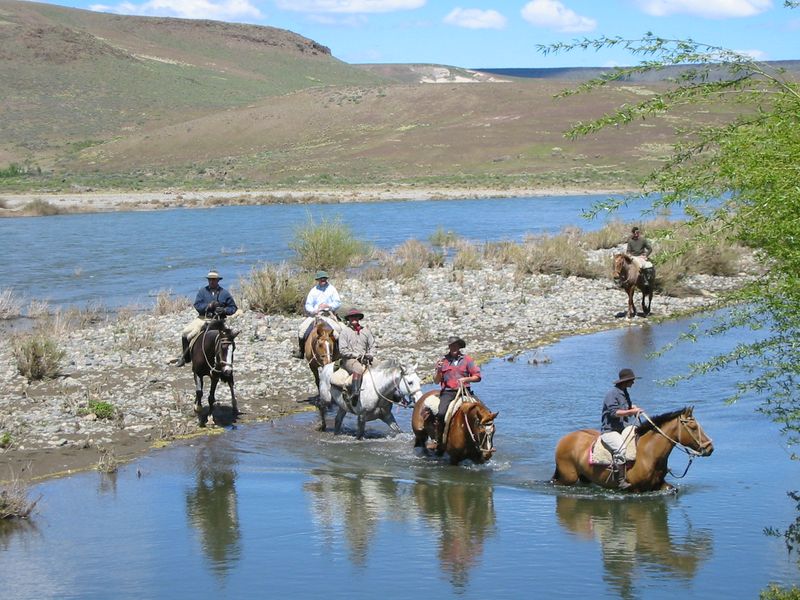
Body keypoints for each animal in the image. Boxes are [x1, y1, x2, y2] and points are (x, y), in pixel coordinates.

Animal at [552, 408, 716, 492]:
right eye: (693, 427)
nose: (710, 448)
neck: (650, 453)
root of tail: (564, 439)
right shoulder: (636, 490)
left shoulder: (660, 484)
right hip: (568, 478)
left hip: (584, 476)